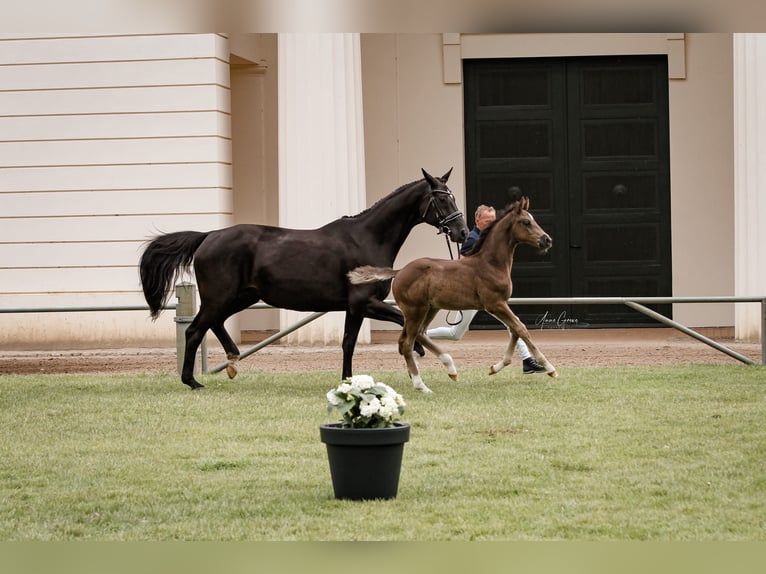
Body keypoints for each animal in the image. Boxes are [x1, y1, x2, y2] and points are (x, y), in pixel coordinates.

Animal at [141, 168, 472, 392]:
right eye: (441, 199)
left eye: (451, 197)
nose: (462, 232)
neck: (366, 239)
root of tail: (208, 236)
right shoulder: (363, 302)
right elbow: (403, 326)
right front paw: (431, 358)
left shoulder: (355, 308)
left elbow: (349, 343)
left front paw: (348, 380)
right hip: (220, 297)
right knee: (194, 330)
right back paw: (193, 381)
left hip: (242, 297)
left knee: (214, 324)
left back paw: (233, 362)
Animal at [350, 198, 560, 396]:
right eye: (526, 222)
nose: (547, 240)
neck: (490, 263)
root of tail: (399, 271)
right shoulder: (495, 304)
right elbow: (521, 328)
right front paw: (550, 368)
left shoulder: (500, 305)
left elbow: (515, 329)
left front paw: (495, 367)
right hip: (414, 310)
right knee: (407, 342)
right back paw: (422, 385)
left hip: (430, 309)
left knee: (420, 334)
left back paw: (449, 368)